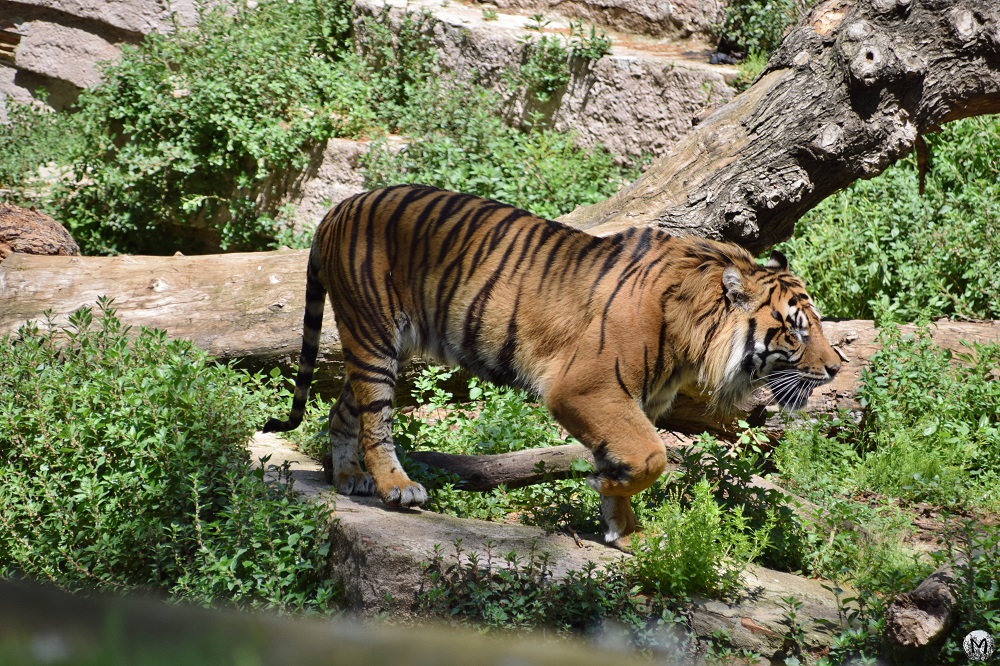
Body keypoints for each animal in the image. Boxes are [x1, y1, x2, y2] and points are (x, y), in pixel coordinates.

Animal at [264, 184, 841, 543]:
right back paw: (396, 487)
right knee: (376, 420)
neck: (693, 337)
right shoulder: (585, 388)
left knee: (344, 410)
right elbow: (652, 457)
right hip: (377, 335)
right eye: (796, 328)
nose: (836, 367)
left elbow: (627, 459)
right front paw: (610, 499)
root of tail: (340, 207)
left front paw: (622, 532)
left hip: (381, 344)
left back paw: (348, 478)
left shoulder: (628, 402)